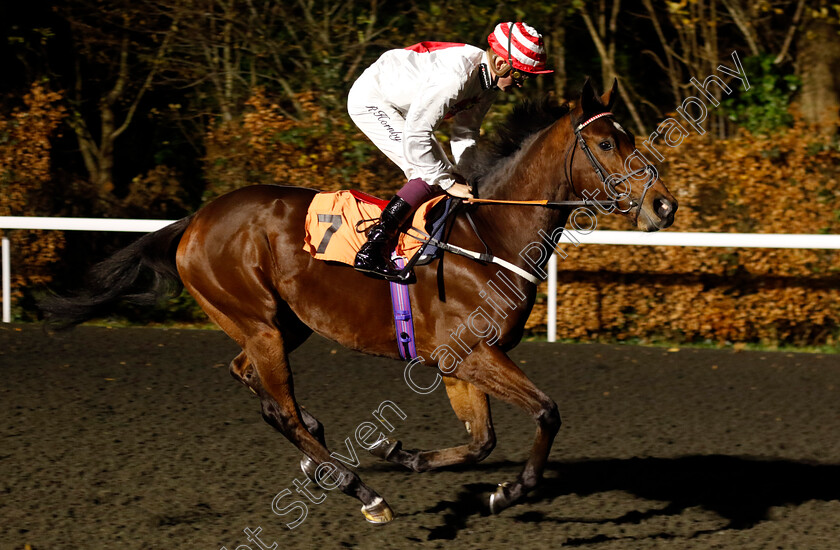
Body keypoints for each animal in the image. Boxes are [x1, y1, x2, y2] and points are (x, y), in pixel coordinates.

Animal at [42, 81, 680, 528]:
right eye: (606, 143)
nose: (665, 206)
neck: (491, 236)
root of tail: (195, 221)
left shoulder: (458, 363)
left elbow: (481, 442)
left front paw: (407, 454)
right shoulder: (468, 352)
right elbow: (546, 412)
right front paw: (510, 490)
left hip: (282, 323)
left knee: (253, 381)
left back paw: (322, 454)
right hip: (261, 324)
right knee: (280, 407)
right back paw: (360, 489)